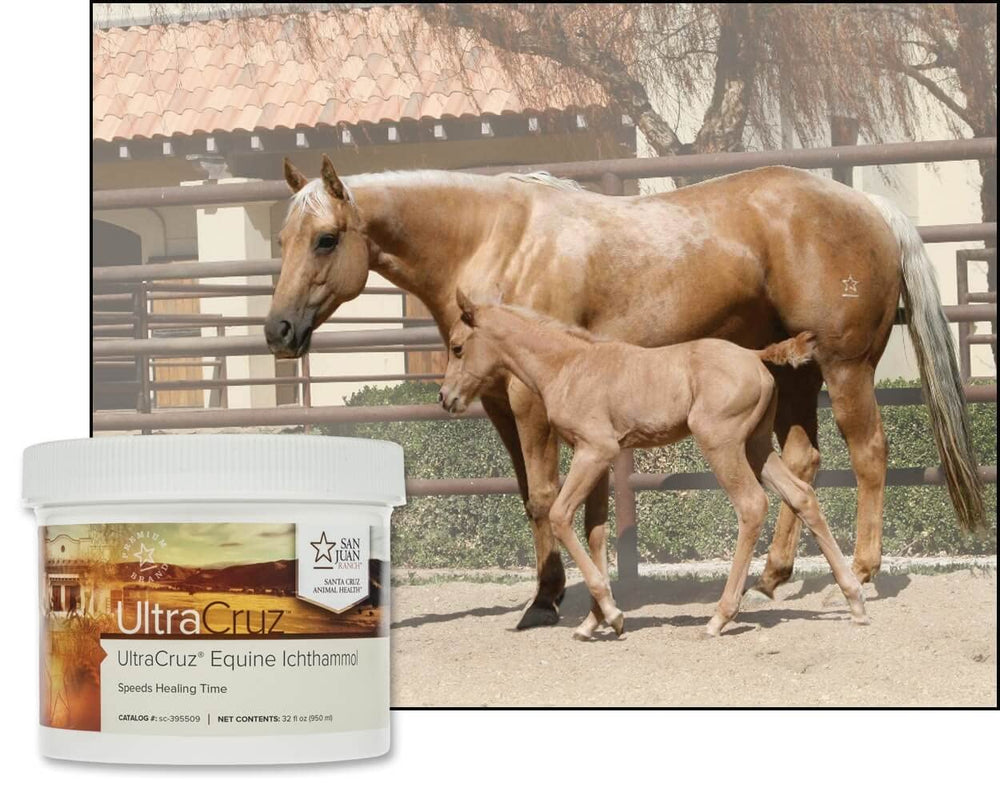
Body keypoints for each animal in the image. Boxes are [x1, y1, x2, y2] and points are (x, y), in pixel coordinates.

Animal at [438, 292, 869, 638]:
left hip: (722, 444)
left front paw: (612, 615)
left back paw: (720, 616)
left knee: (751, 505)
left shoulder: (594, 451)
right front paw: (594, 621)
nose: (445, 397)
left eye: (457, 347)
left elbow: (561, 516)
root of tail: (753, 355)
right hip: (756, 445)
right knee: (802, 495)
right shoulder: (598, 456)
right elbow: (596, 531)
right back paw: (854, 601)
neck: (568, 365)